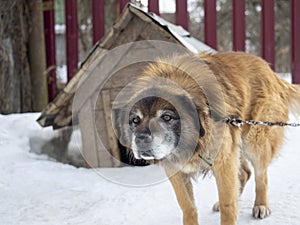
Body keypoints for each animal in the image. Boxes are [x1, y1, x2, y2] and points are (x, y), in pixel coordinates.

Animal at [113, 51, 300, 224]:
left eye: (166, 117)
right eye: (135, 120)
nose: (141, 140)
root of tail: (270, 71)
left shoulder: (224, 161)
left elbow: (227, 205)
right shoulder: (175, 169)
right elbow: (188, 206)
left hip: (255, 142)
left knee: (261, 176)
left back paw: (261, 205)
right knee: (245, 173)